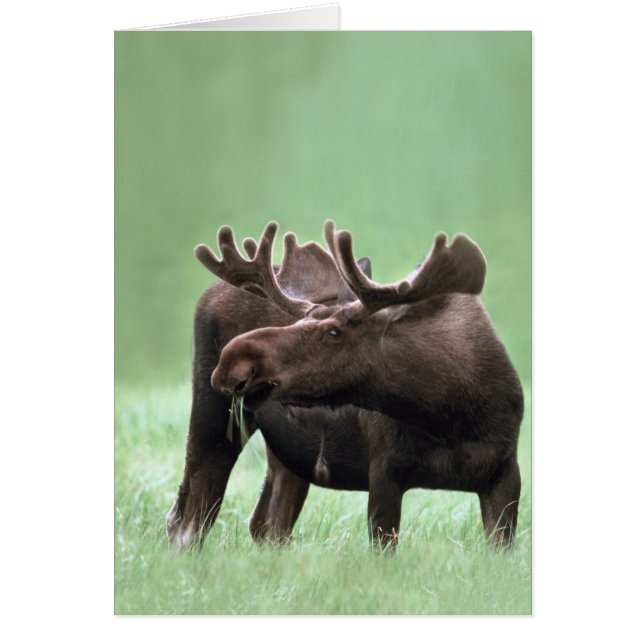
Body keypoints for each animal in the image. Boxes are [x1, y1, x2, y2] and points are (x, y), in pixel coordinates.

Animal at [198, 221, 524, 549]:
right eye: (299, 320)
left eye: (334, 332)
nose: (233, 360)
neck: (450, 416)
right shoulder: (383, 470)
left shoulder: (506, 473)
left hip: (285, 460)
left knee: (267, 525)